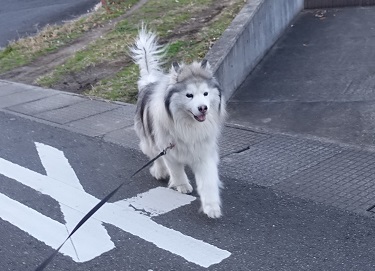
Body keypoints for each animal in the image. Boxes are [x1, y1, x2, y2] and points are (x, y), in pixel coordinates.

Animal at [131, 27, 228, 219]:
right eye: (189, 95)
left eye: (205, 93)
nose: (203, 108)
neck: (187, 125)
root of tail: (149, 83)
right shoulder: (168, 149)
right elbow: (176, 170)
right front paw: (182, 185)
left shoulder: (203, 151)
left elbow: (208, 180)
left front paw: (212, 207)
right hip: (148, 139)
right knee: (154, 155)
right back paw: (160, 171)